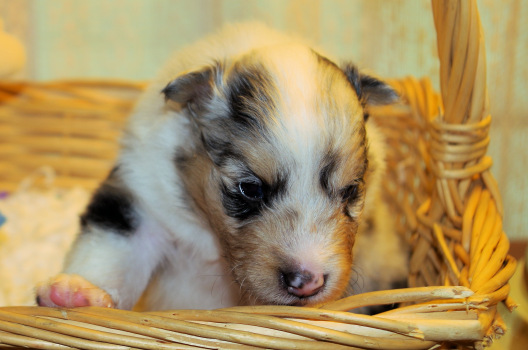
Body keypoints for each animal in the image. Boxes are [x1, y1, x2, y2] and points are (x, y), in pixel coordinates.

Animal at [36, 23, 408, 310]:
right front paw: (76, 294)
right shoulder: (143, 200)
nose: (307, 281)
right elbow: (113, 246)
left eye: (351, 190)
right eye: (250, 188)